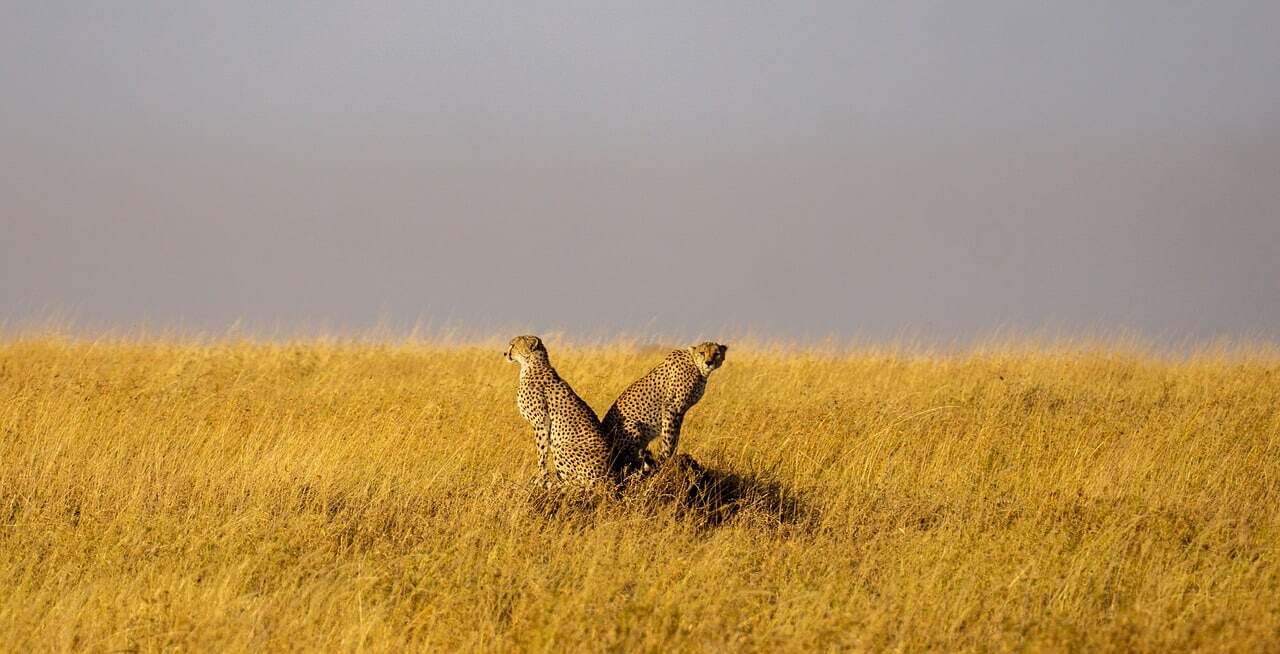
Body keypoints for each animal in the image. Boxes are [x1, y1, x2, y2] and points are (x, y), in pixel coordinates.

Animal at [601, 341, 727, 474]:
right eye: (702, 352)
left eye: (717, 353)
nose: (709, 362)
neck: (697, 367)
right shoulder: (671, 408)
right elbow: (669, 436)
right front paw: (667, 458)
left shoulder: (680, 412)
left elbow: (675, 435)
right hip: (631, 425)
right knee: (625, 458)